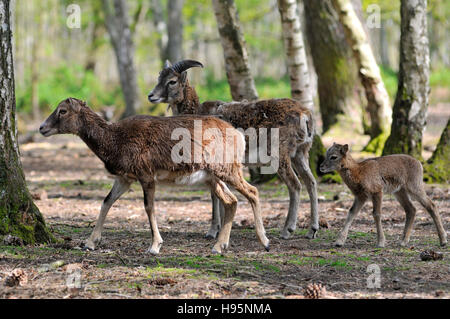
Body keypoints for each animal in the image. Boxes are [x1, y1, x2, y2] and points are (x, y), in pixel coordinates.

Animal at [38, 97, 268, 255]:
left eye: (62, 110)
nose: (42, 128)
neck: (115, 141)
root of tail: (238, 135)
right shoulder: (125, 178)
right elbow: (106, 202)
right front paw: (90, 243)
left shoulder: (146, 175)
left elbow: (149, 207)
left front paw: (155, 246)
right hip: (213, 178)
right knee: (232, 201)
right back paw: (219, 246)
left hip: (227, 170)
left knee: (253, 191)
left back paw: (264, 241)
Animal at [149, 60, 320, 241]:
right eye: (159, 77)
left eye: (172, 81)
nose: (151, 96)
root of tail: (305, 115)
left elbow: (215, 195)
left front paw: (212, 232)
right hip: (300, 154)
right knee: (310, 181)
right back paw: (312, 230)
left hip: (280, 156)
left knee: (295, 185)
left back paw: (287, 230)